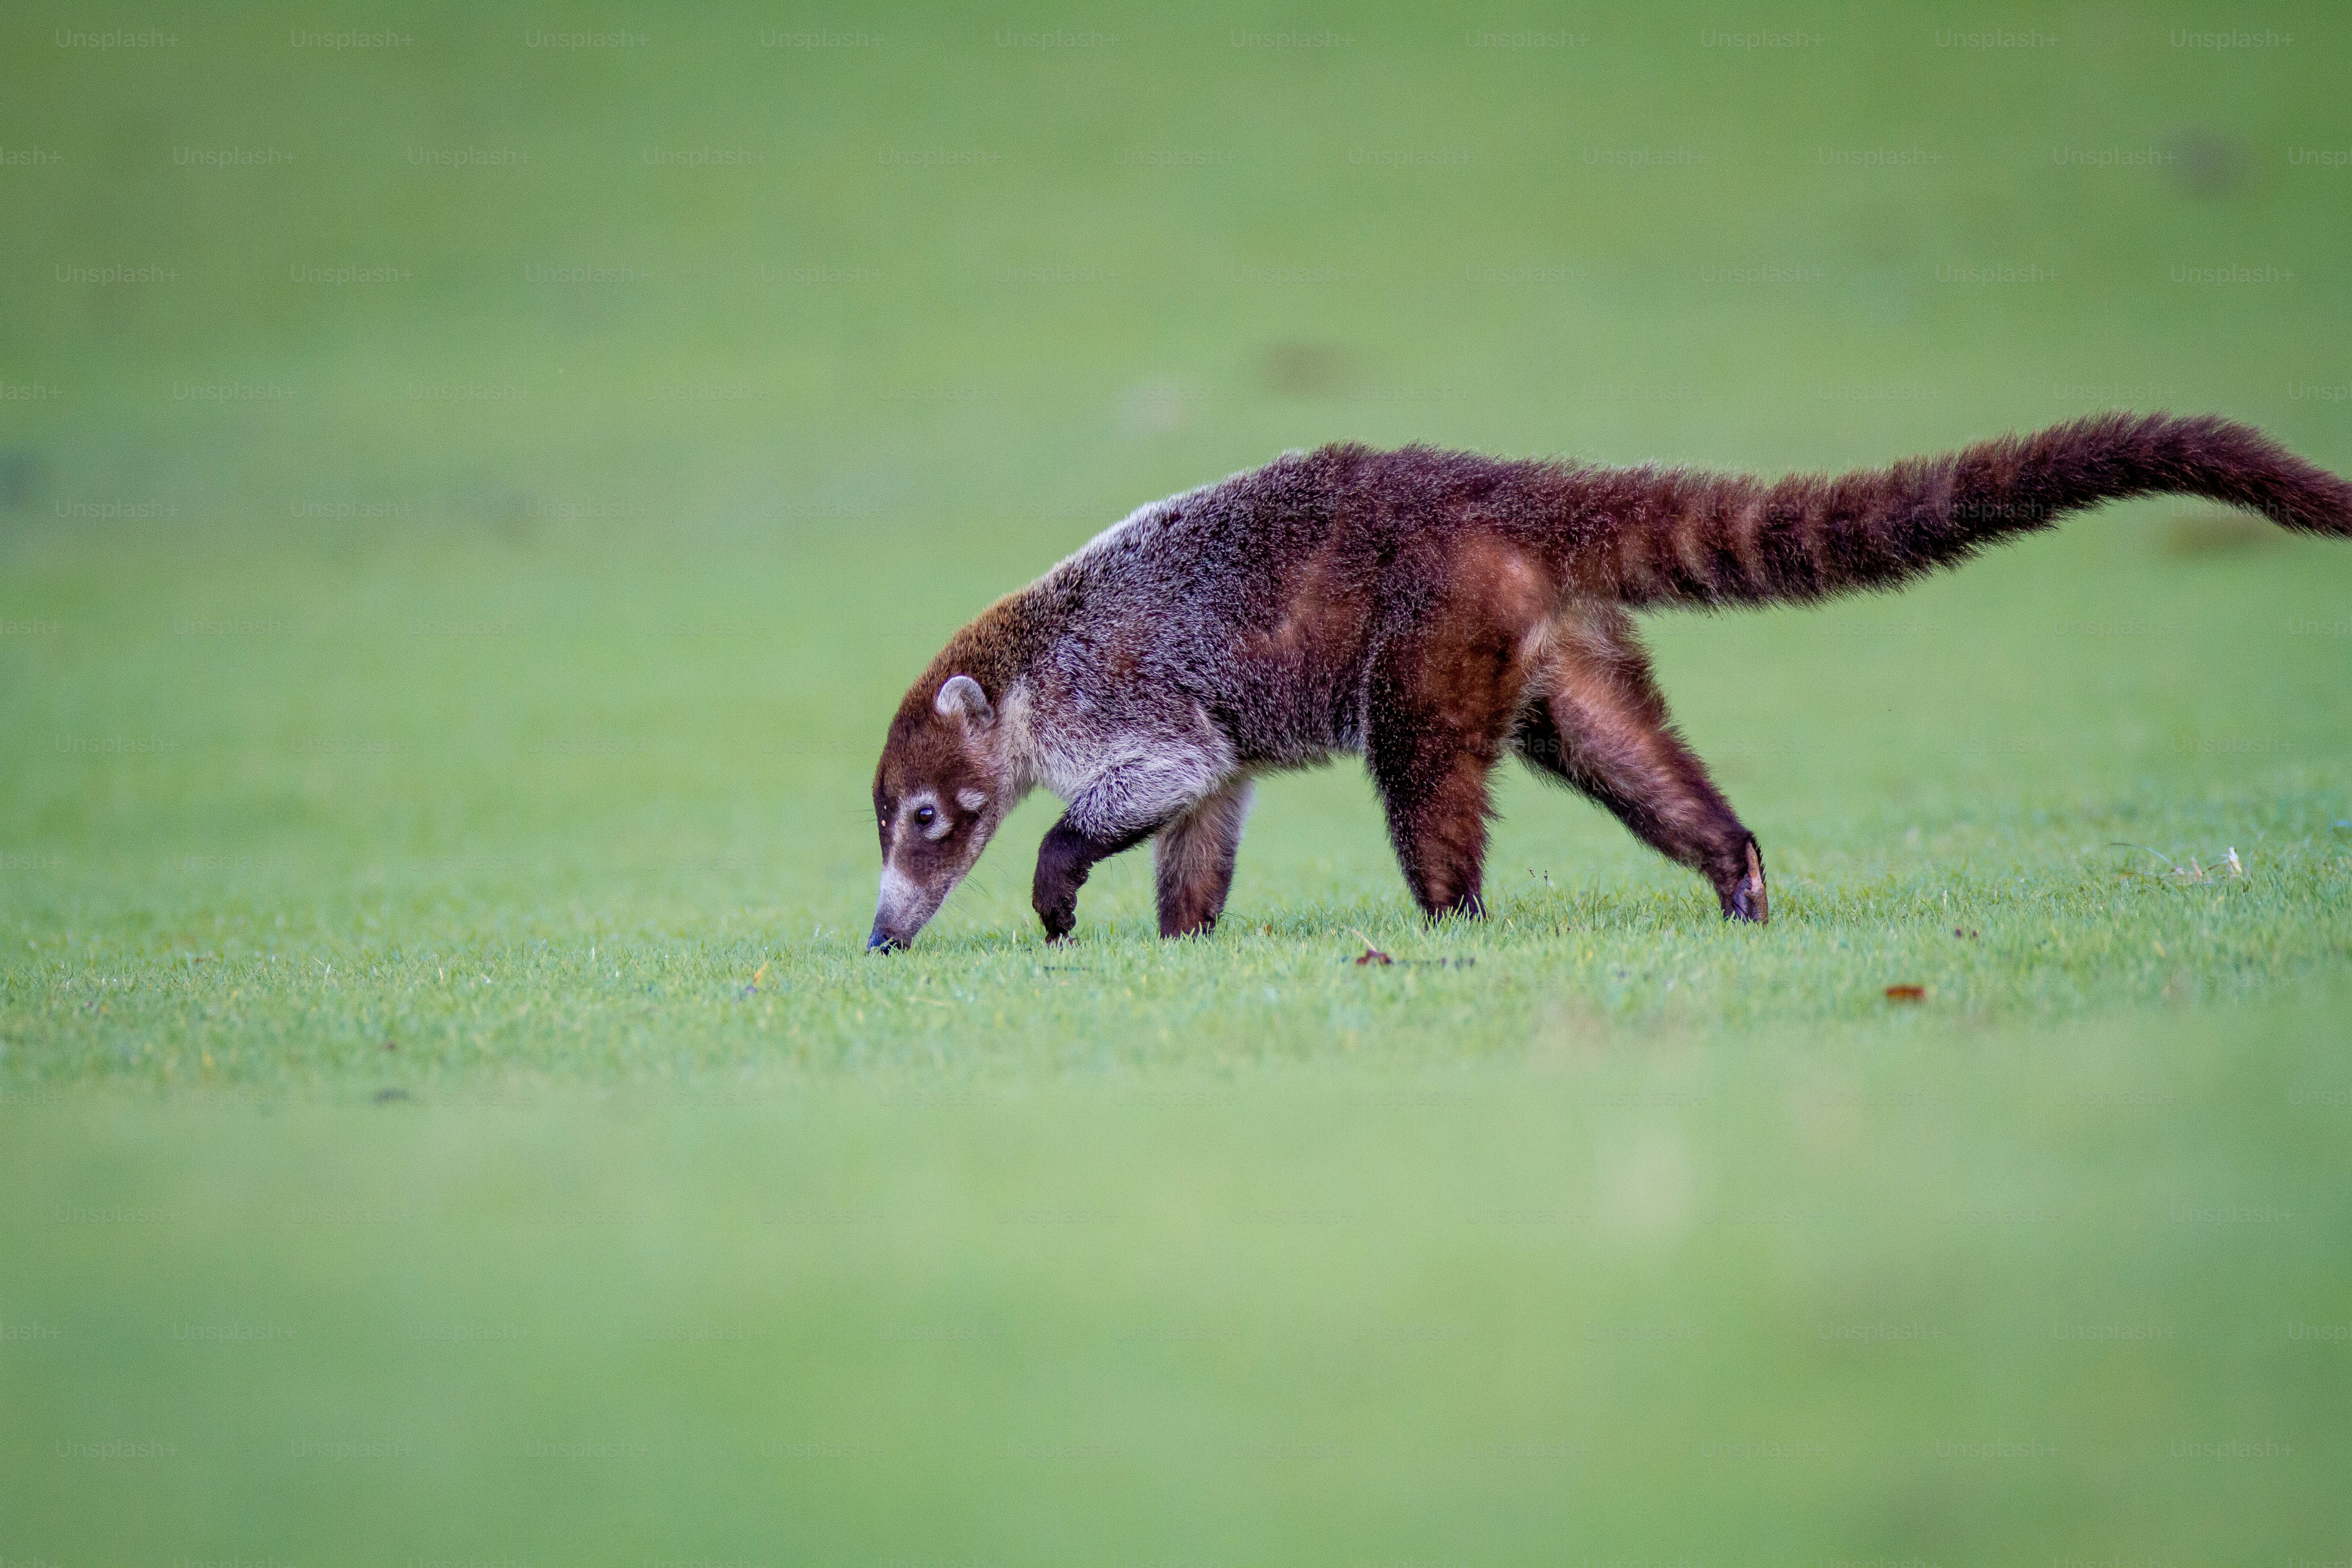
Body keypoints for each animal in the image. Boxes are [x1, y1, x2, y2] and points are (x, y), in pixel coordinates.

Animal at [867, 412, 2350, 950]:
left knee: (1422, 777)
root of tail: (1501, 489)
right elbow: (1207, 814)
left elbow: (1157, 777)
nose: (883, 934)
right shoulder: (1217, 740)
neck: (1015, 665)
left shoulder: (1118, 696)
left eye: (927, 820)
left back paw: (1452, 921)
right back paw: (1734, 869)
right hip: (1556, 644)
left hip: (1432, 638)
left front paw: (1057, 879)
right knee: (1615, 751)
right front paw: (1185, 934)